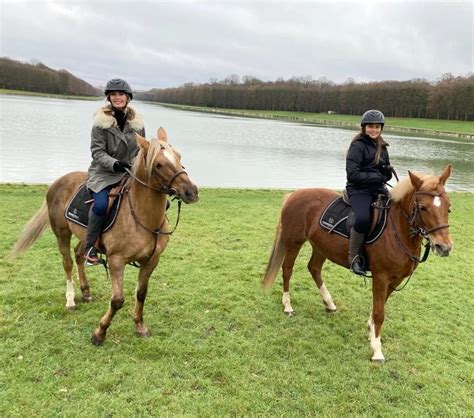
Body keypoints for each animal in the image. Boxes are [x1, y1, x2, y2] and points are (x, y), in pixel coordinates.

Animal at [9, 128, 198, 346]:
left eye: (178, 156)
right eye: (158, 164)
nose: (191, 192)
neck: (142, 217)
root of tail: (58, 182)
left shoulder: (151, 260)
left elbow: (141, 294)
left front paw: (139, 326)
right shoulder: (116, 260)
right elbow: (117, 300)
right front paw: (99, 332)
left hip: (85, 236)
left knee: (79, 254)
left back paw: (86, 291)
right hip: (62, 233)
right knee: (67, 263)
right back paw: (71, 300)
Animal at [262, 165, 452, 360]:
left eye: (449, 207)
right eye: (422, 207)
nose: (444, 247)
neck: (396, 230)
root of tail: (293, 195)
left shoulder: (395, 280)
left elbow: (380, 306)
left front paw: (371, 331)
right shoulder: (381, 277)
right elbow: (379, 312)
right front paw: (377, 350)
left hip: (321, 247)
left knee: (314, 268)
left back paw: (329, 303)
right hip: (294, 242)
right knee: (287, 269)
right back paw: (287, 305)